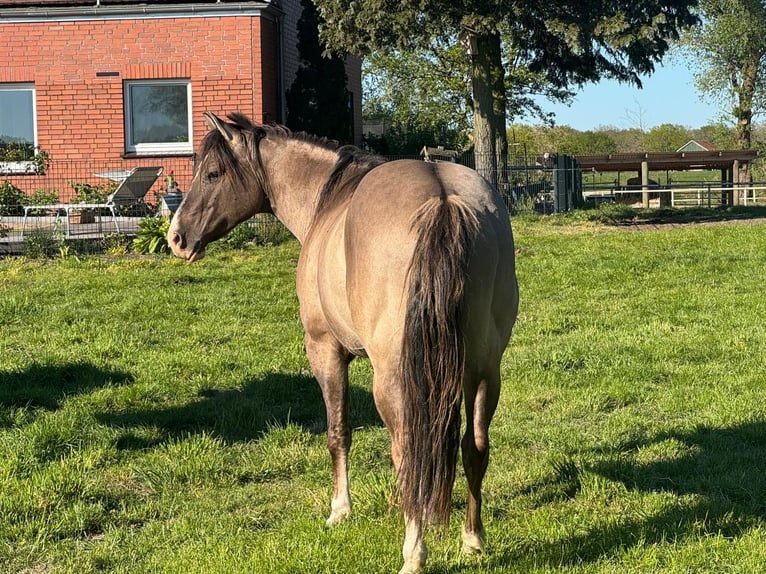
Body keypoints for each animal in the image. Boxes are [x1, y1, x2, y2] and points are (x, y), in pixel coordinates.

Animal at [168, 112, 519, 574]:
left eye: (211, 173)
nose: (176, 238)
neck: (329, 200)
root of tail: (444, 201)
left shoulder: (325, 350)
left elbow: (339, 433)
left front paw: (340, 509)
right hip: (482, 371)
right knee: (473, 448)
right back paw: (472, 540)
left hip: (394, 379)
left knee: (409, 451)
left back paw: (413, 553)